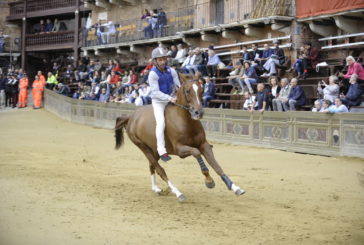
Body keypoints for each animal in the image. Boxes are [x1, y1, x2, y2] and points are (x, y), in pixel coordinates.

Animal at [114, 74, 245, 201]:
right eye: (187, 91)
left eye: (201, 90)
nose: (199, 113)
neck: (186, 122)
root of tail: (131, 117)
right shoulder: (180, 149)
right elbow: (197, 153)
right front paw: (209, 181)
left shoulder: (204, 145)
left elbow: (216, 165)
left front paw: (234, 187)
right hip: (143, 147)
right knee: (160, 170)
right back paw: (178, 193)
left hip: (154, 150)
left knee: (152, 167)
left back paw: (156, 189)